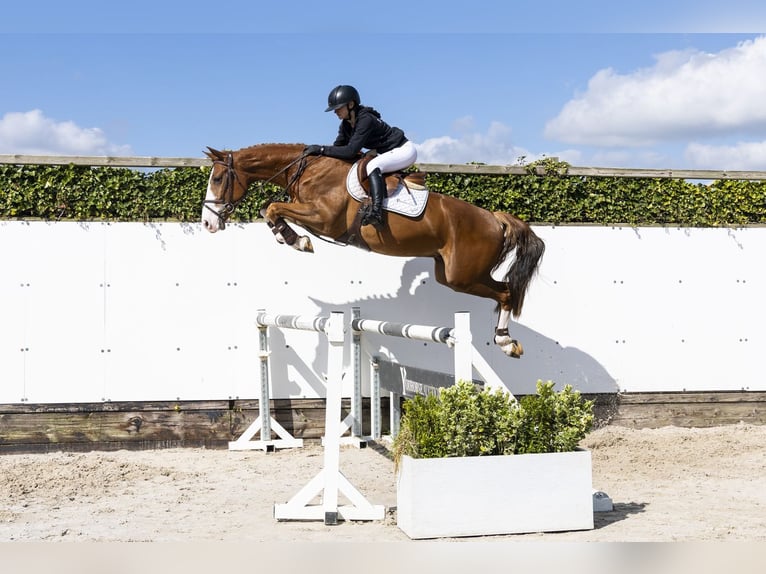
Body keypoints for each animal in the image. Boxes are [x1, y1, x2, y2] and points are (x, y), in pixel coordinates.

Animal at [201, 143, 544, 358]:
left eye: (217, 178)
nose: (207, 223)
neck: (309, 172)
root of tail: (495, 218)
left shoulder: (323, 218)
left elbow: (272, 207)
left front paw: (298, 241)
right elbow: (267, 208)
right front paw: (289, 237)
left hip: (464, 275)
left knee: (506, 293)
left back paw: (506, 342)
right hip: (450, 274)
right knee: (503, 290)